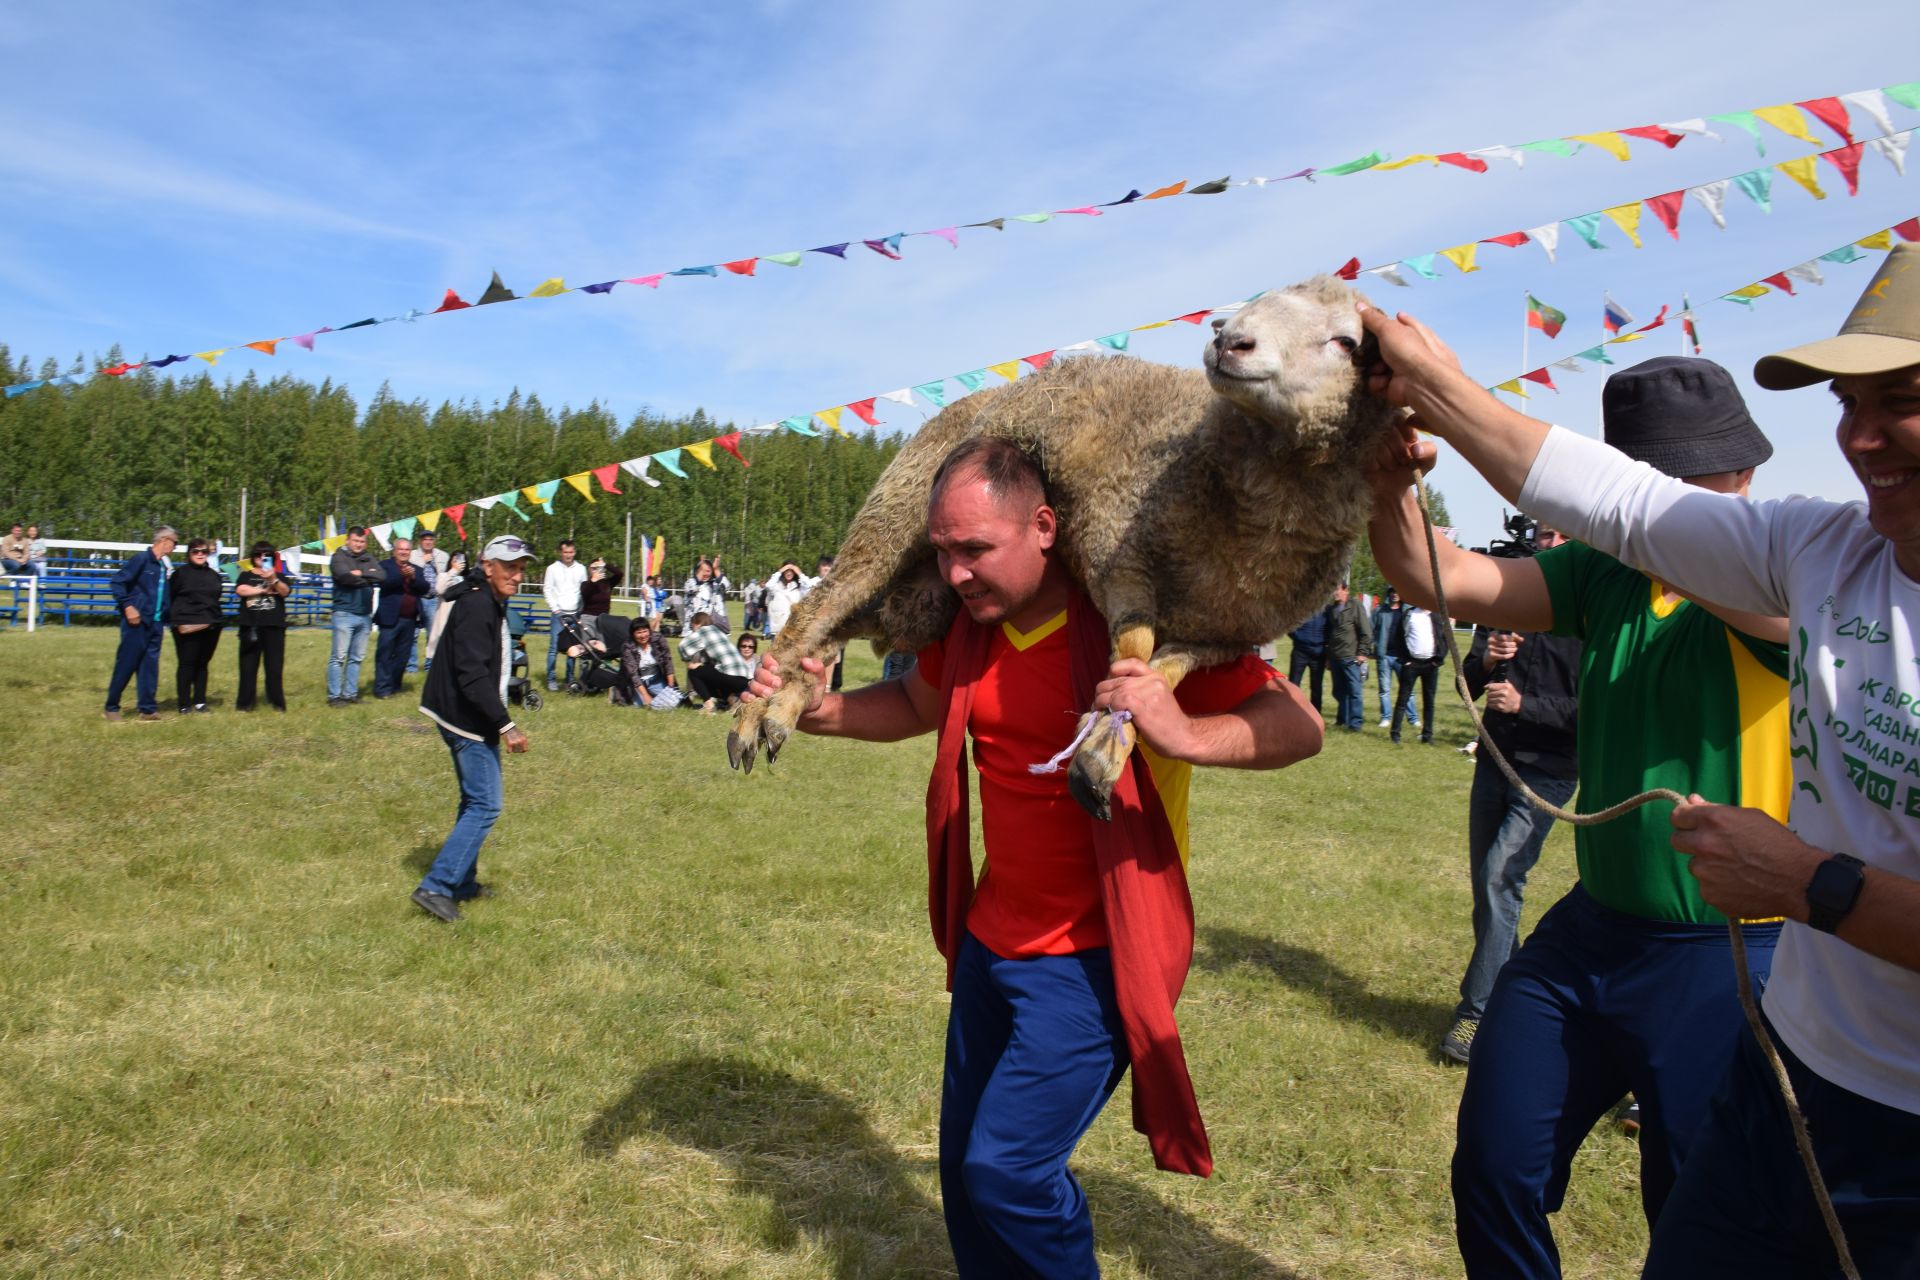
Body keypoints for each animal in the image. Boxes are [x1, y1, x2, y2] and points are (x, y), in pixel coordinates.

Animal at [725, 278, 1405, 821]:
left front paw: (1109, 740)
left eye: (1347, 342)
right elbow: (1135, 645)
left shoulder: (1229, 636)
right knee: (817, 606)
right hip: (895, 515)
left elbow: (1165, 670)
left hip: (922, 596)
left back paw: (788, 704)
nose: (1228, 340)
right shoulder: (1118, 553)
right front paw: (1098, 739)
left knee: (841, 626)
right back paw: (753, 714)